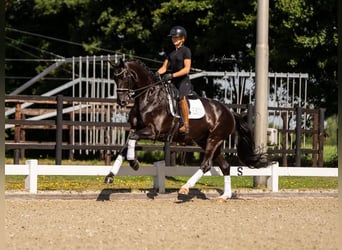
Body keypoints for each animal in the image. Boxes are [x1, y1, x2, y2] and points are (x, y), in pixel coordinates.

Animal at [104, 58, 268, 201]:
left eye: (125, 76)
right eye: (114, 78)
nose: (122, 101)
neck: (149, 96)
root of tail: (229, 112)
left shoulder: (153, 131)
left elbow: (132, 140)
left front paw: (134, 163)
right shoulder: (135, 129)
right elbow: (124, 147)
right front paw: (110, 175)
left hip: (213, 140)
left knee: (206, 165)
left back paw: (185, 188)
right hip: (208, 141)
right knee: (225, 166)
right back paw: (224, 196)